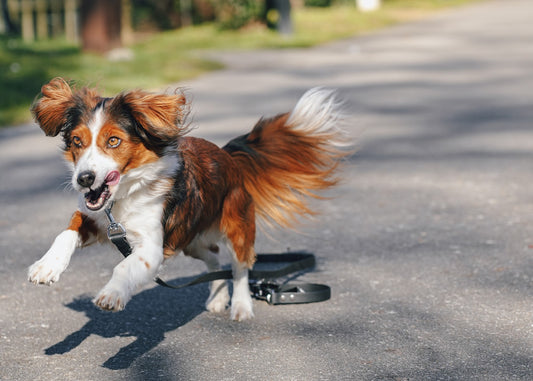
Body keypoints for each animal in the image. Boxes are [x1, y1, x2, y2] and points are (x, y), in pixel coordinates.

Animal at [28, 78, 350, 320]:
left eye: (113, 141)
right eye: (77, 142)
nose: (84, 179)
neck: (125, 197)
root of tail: (228, 157)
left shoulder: (151, 248)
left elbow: (124, 267)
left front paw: (113, 292)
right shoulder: (95, 219)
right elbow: (65, 233)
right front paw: (47, 266)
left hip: (237, 228)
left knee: (240, 267)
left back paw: (241, 306)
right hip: (191, 241)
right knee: (215, 260)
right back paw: (218, 298)